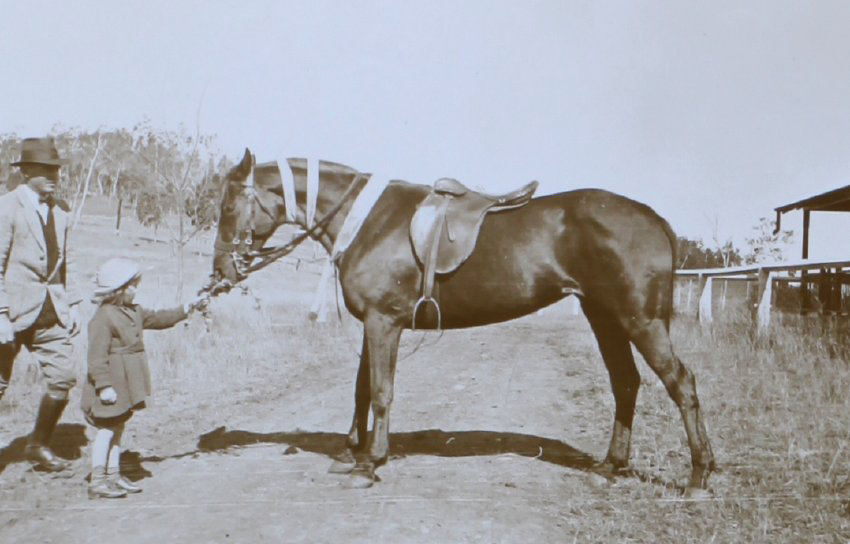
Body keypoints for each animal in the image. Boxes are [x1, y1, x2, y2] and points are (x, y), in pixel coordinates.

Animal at [210, 149, 715, 497]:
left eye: (229, 206)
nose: (222, 272)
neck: (369, 222)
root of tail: (652, 218)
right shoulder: (374, 325)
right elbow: (361, 389)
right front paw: (349, 453)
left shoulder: (383, 322)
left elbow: (380, 391)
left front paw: (370, 463)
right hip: (604, 317)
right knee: (626, 382)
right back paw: (612, 466)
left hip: (640, 321)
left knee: (681, 384)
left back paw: (698, 477)